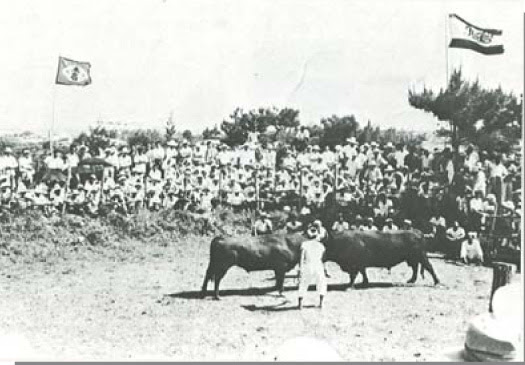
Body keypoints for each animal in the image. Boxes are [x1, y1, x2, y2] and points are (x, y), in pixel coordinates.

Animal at [201, 230, 438, 298]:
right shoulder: (280, 268)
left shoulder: (355, 264)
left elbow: (358, 274)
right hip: (220, 266)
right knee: (213, 279)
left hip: (419, 257)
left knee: (425, 268)